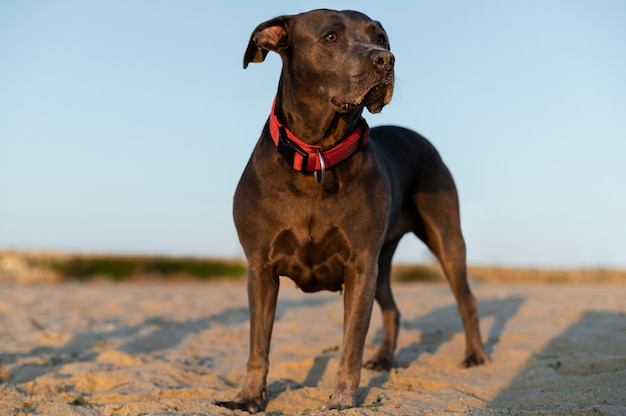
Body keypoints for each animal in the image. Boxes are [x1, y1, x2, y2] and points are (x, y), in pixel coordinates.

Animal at [216, 8, 488, 412]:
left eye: (380, 38)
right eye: (331, 37)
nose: (386, 59)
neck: (317, 156)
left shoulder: (360, 266)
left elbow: (351, 345)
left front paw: (341, 399)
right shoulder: (261, 267)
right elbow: (258, 344)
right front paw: (248, 398)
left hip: (444, 238)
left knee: (465, 298)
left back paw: (475, 355)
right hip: (383, 259)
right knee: (393, 308)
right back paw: (384, 359)